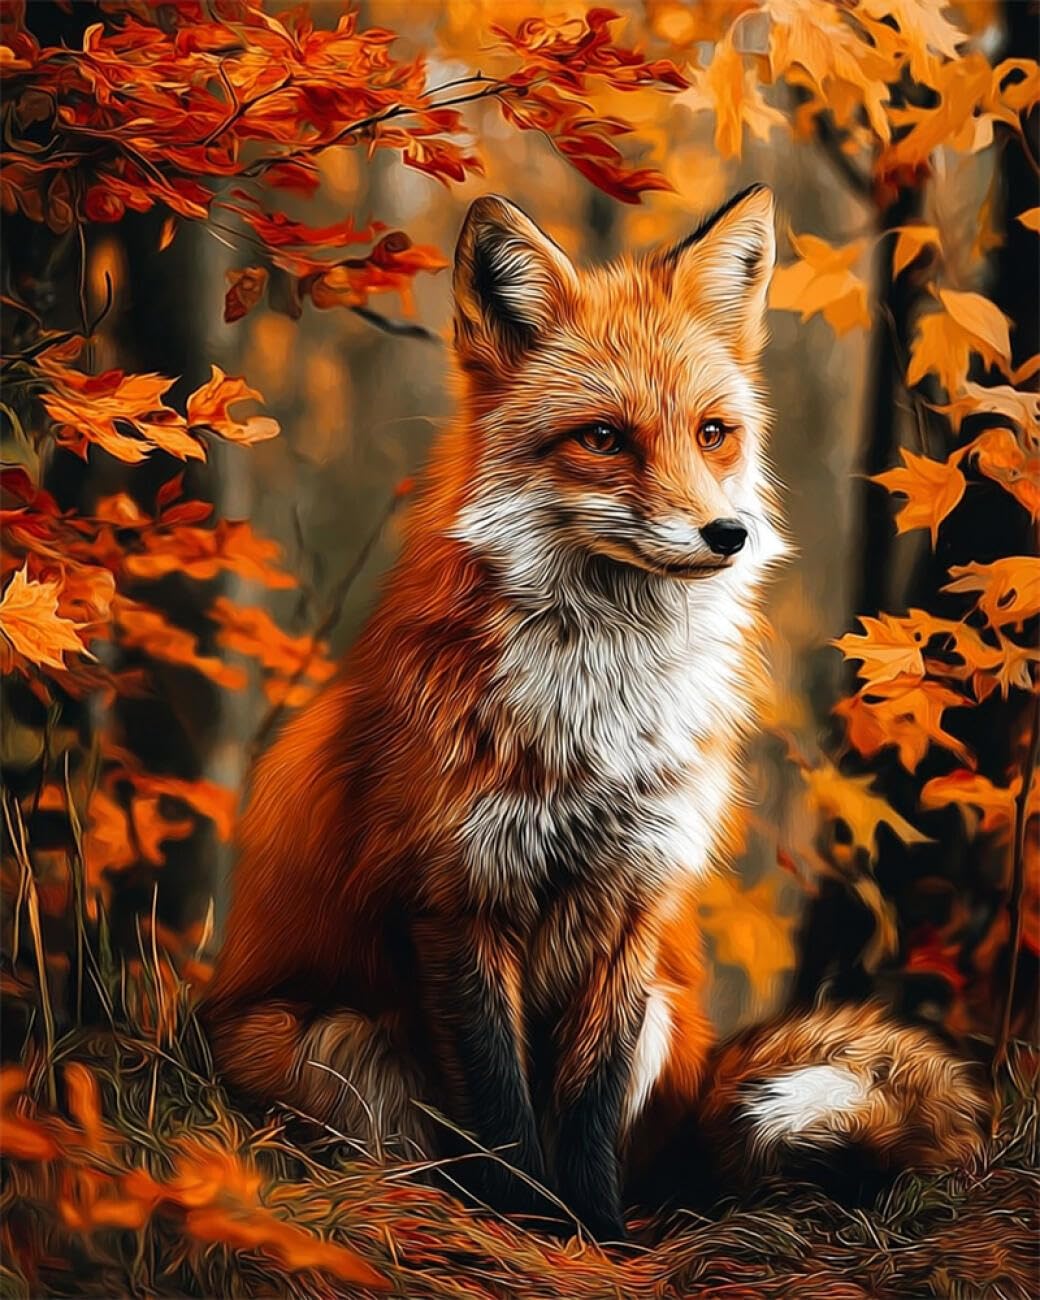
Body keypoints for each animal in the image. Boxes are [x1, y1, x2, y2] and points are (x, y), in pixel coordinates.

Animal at [202, 186, 984, 1241]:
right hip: (329, 1037)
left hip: (661, 1012)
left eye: (712, 432)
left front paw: (598, 1236)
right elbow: (502, 1111)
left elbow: (586, 1103)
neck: (599, 724)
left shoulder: (636, 898)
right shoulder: (457, 896)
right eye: (604, 438)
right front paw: (527, 1232)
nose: (727, 535)